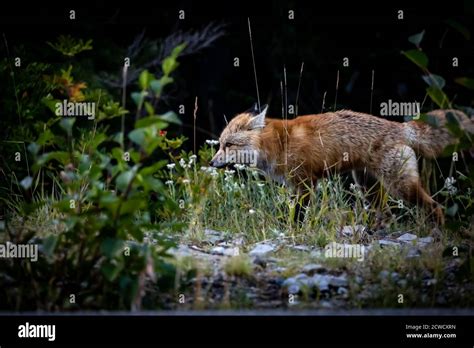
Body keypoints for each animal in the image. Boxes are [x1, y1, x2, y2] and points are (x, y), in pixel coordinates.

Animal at [211, 104, 474, 223]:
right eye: (220, 144)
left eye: (229, 145)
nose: (212, 162)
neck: (277, 144)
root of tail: (400, 127)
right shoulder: (297, 184)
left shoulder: (305, 182)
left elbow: (299, 213)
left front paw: (292, 229)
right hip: (368, 188)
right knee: (388, 214)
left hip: (400, 186)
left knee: (435, 206)